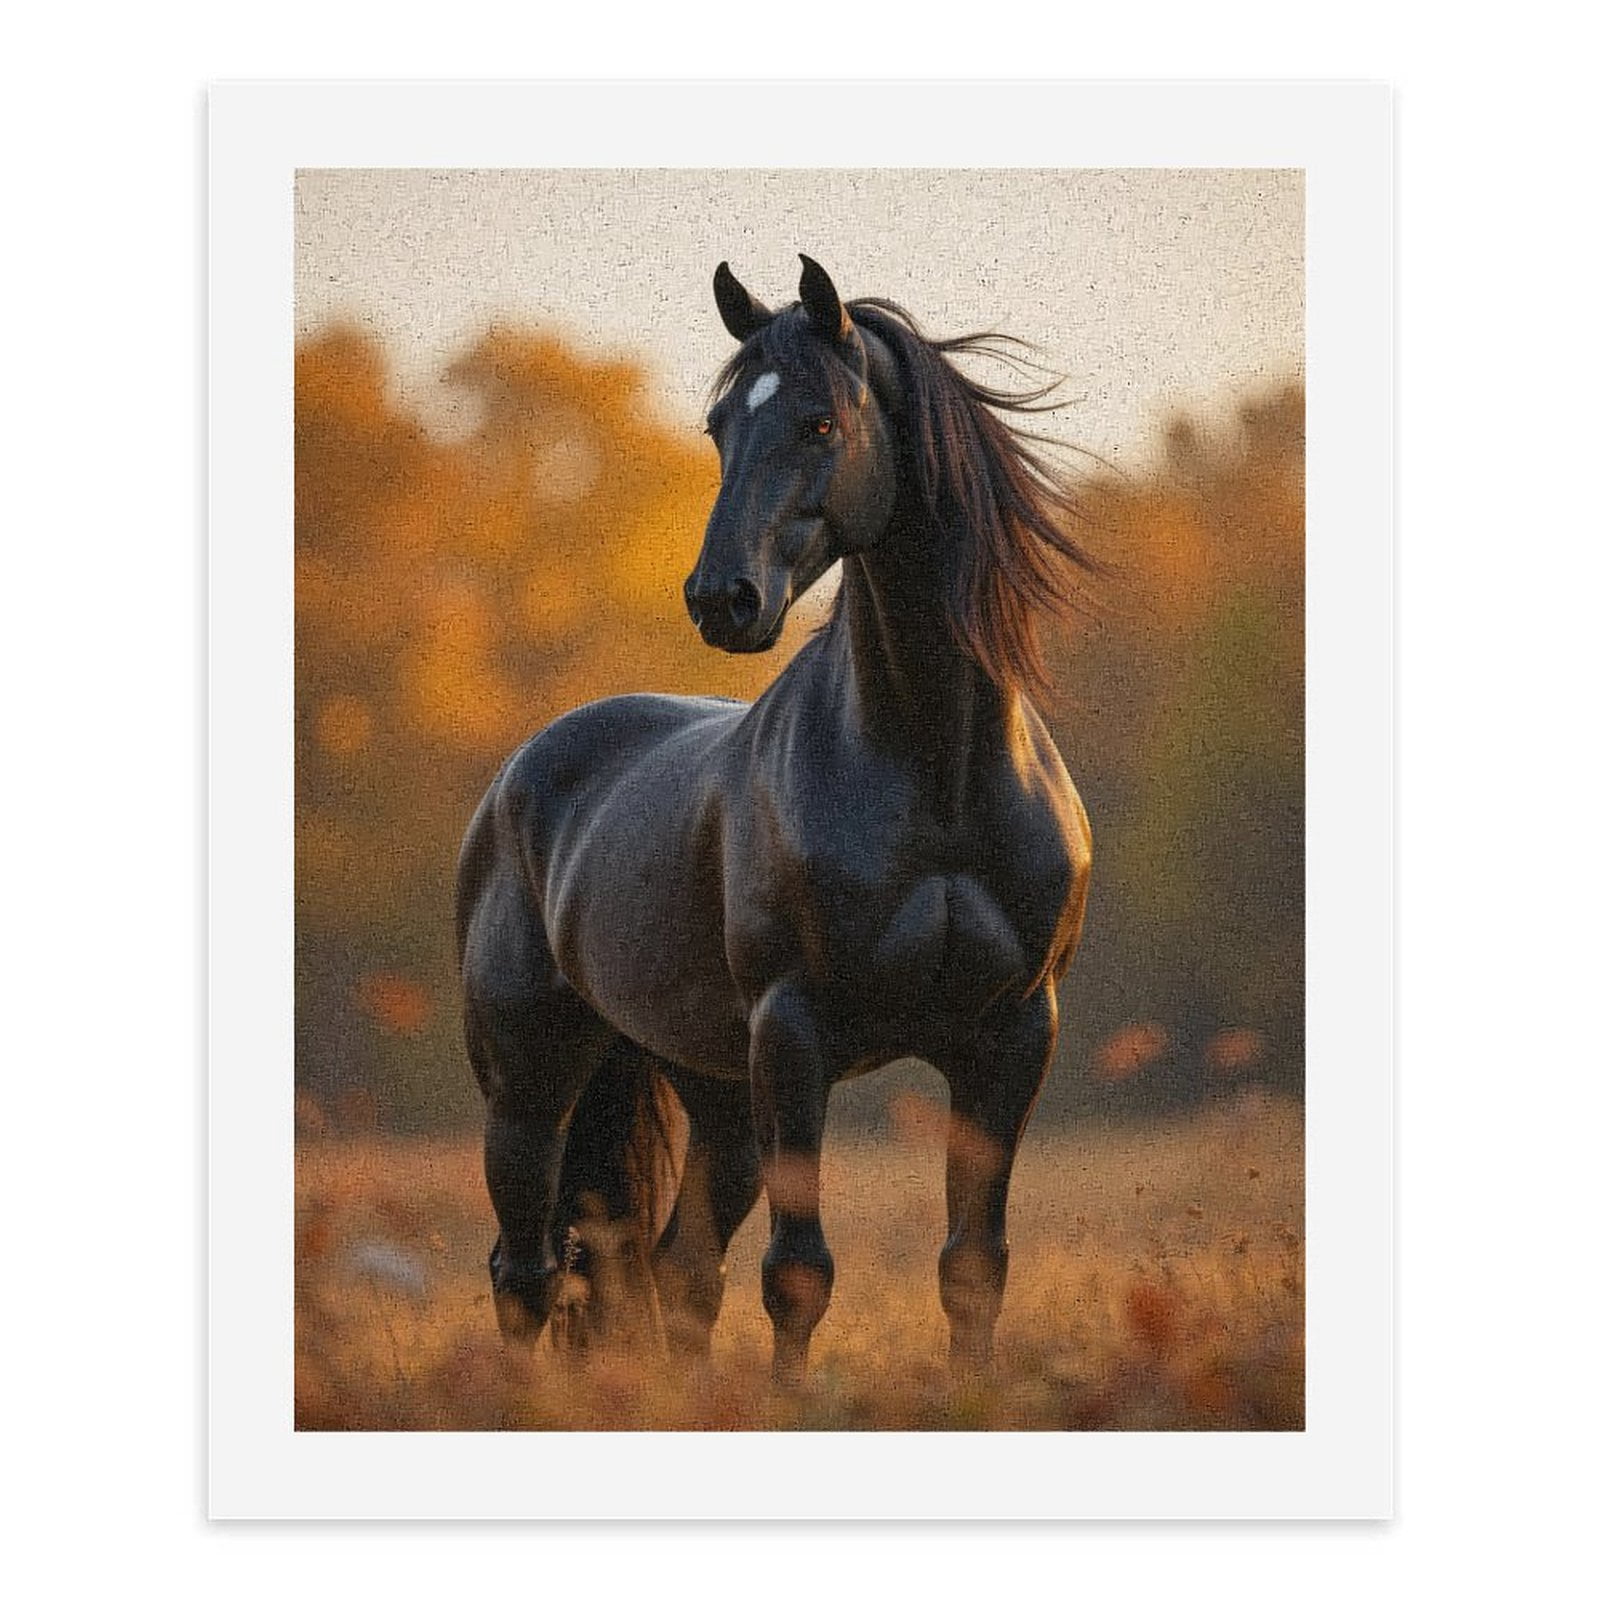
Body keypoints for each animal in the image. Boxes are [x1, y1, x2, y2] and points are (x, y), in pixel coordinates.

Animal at [456, 255, 1095, 1384]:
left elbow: (973, 1263)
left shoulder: (1011, 1037)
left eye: (818, 422)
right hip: (530, 1086)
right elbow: (799, 1273)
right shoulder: (796, 1033)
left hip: (716, 1097)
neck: (936, 772)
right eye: (718, 426)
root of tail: (517, 779)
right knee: (525, 1273)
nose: (722, 599)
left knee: (671, 1272)